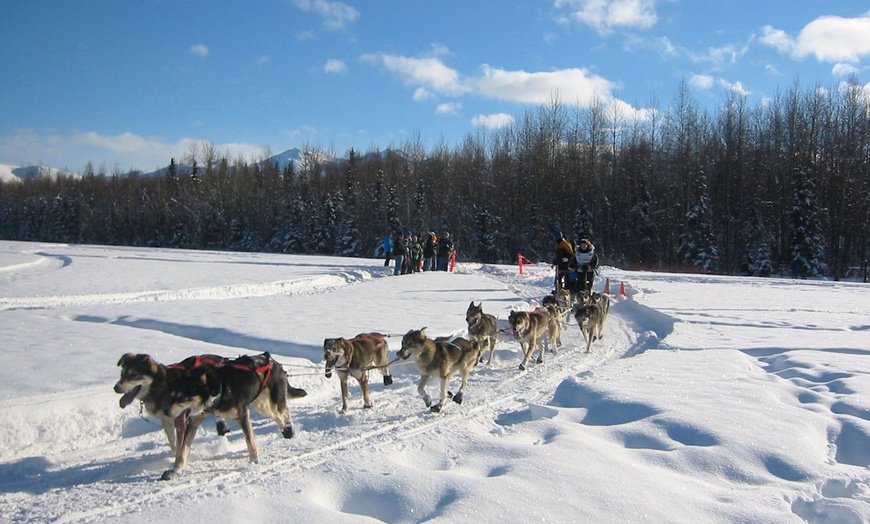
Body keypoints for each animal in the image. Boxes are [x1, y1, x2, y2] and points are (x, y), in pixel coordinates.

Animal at [158, 352, 308, 478]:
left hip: (275, 401)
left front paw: (255, 461)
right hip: (261, 406)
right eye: (172, 394)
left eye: (183, 397)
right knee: (276, 416)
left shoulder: (243, 415)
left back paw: (289, 429)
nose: (166, 411)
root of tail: (272, 361)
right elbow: (183, 448)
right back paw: (286, 431)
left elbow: (250, 441)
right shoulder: (194, 421)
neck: (219, 389)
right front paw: (176, 469)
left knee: (284, 412)